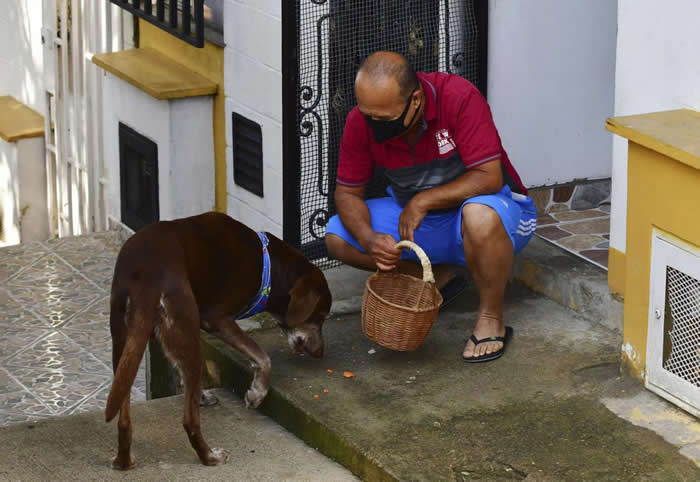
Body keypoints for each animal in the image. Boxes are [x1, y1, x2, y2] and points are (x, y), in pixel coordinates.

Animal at [105, 211, 332, 466]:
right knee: (189, 420)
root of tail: (145, 278)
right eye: (321, 316)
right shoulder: (216, 319)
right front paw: (256, 393)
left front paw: (202, 394)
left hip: (124, 343)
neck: (268, 267)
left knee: (123, 416)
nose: (320, 353)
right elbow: (262, 357)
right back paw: (209, 457)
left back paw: (123, 461)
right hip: (184, 329)